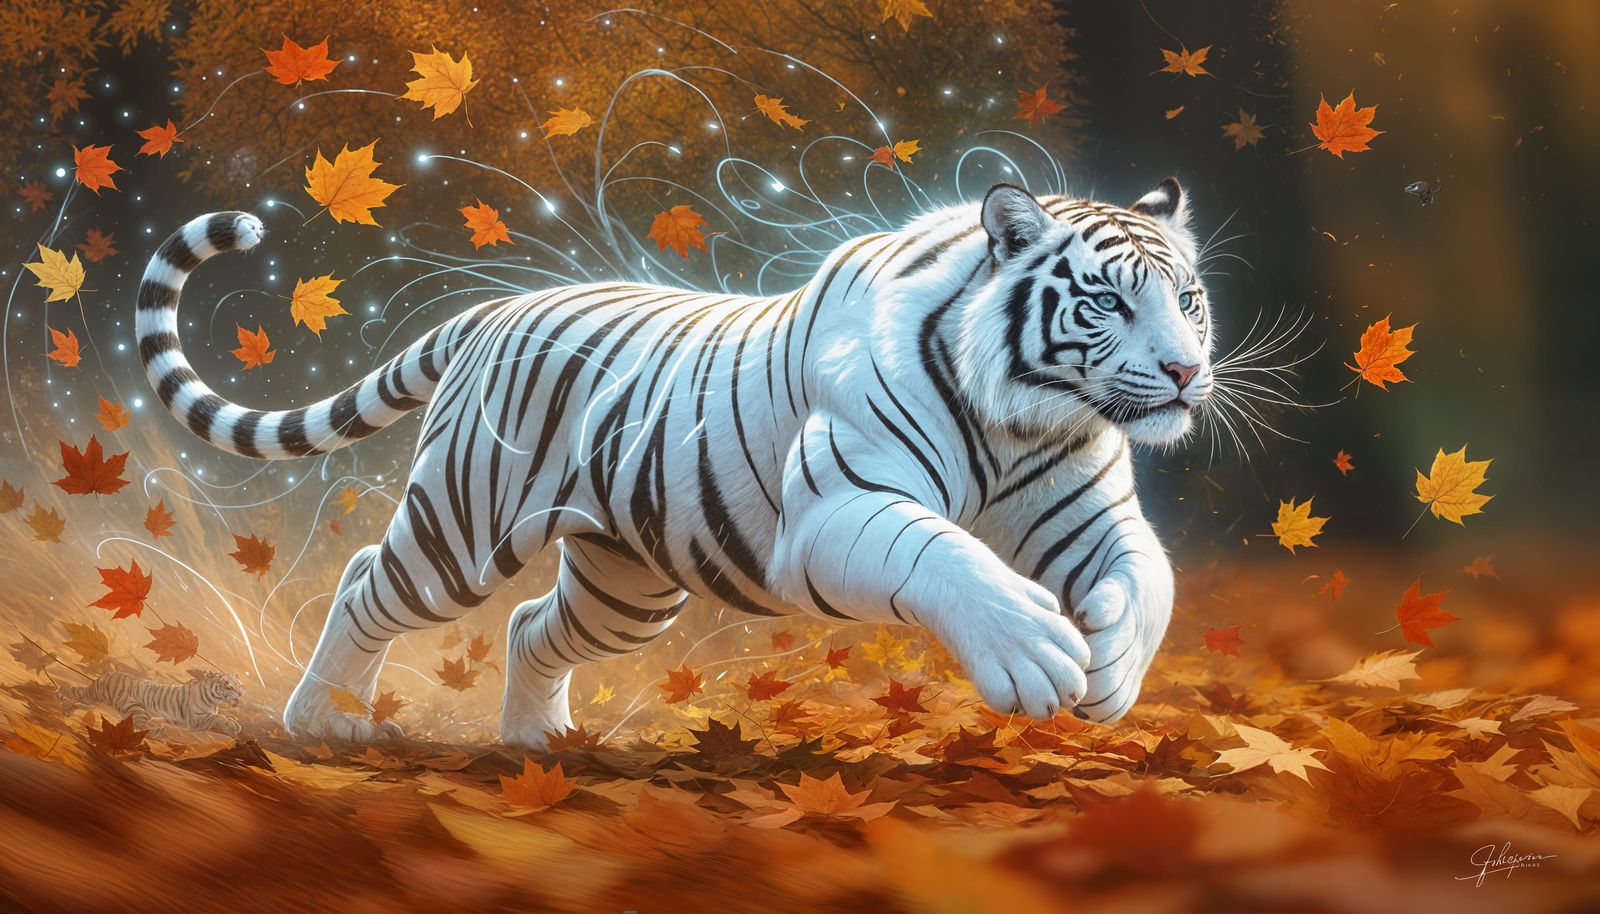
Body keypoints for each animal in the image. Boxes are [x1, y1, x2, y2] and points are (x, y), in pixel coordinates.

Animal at [58, 669, 243, 736]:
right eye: (228, 685)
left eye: (240, 685)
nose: (241, 694)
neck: (215, 701)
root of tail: (108, 674)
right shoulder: (196, 720)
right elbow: (217, 718)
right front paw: (233, 727)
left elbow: (220, 717)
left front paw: (235, 725)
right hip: (137, 709)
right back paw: (59, 692)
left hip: (96, 701)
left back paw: (67, 709)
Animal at [135, 178, 1211, 749]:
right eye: (1107, 301)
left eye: (1188, 299)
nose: (1187, 370)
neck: (1023, 416)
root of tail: (489, 311)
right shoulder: (839, 509)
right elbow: (942, 554)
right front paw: (1033, 654)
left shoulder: (1091, 516)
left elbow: (1149, 576)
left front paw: (1112, 668)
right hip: (464, 529)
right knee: (369, 579)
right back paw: (324, 717)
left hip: (627, 584)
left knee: (530, 625)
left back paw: (538, 741)